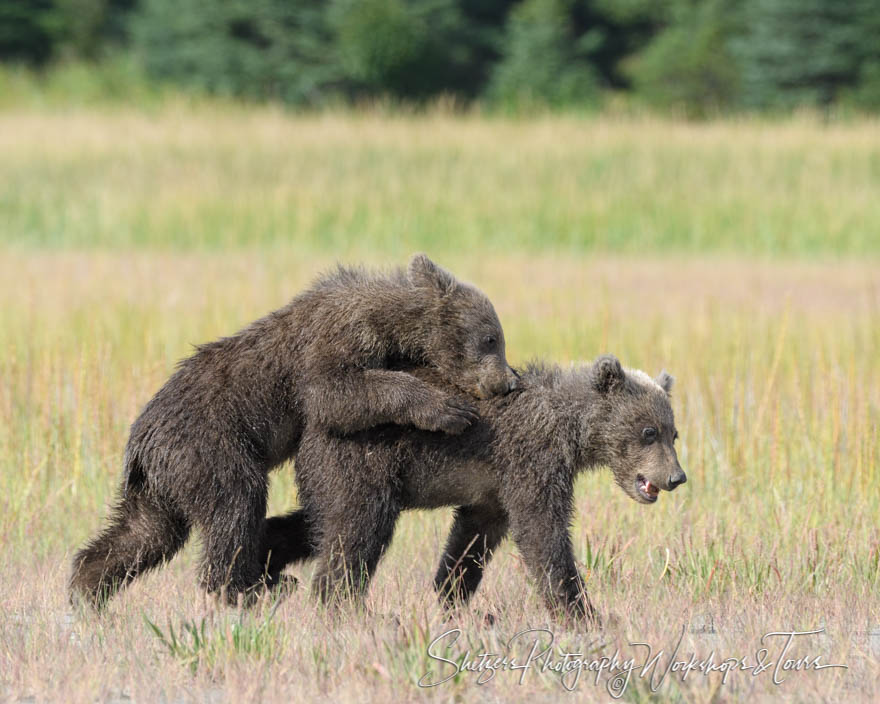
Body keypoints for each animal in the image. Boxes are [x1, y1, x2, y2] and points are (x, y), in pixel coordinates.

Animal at [75, 256, 520, 608]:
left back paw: (87, 590)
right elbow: (334, 393)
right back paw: (248, 587)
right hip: (207, 445)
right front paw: (448, 409)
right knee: (235, 505)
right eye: (490, 337)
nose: (506, 382)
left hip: (164, 482)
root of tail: (141, 443)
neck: (391, 323)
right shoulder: (334, 339)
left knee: (142, 534)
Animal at [268, 358, 688, 620]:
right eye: (648, 431)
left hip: (333, 474)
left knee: (319, 522)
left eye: (673, 432)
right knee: (356, 530)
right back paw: (343, 608)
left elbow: (471, 540)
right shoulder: (529, 460)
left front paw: (450, 596)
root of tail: (310, 426)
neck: (569, 428)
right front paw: (584, 613)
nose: (676, 477)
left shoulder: (493, 490)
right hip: (364, 459)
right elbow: (542, 532)